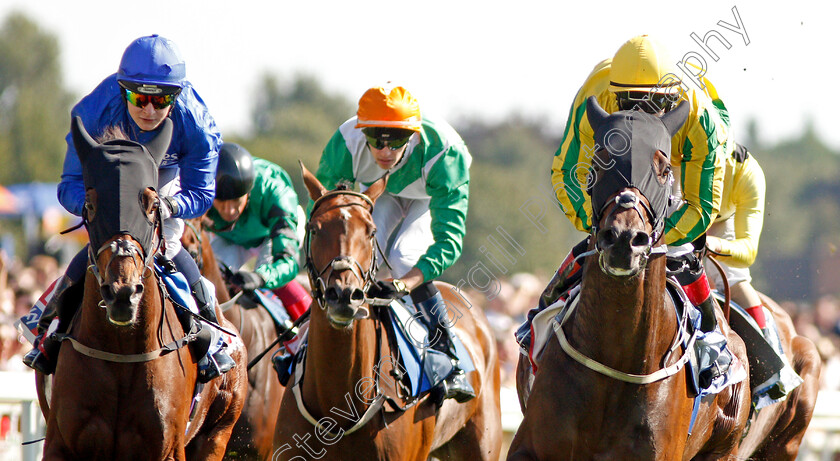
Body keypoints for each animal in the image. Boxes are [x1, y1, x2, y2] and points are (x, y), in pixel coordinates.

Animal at [38, 118, 246, 460]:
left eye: (152, 205)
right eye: (90, 205)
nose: (122, 292)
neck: (122, 351)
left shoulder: (169, 448)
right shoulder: (60, 444)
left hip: (218, 430)